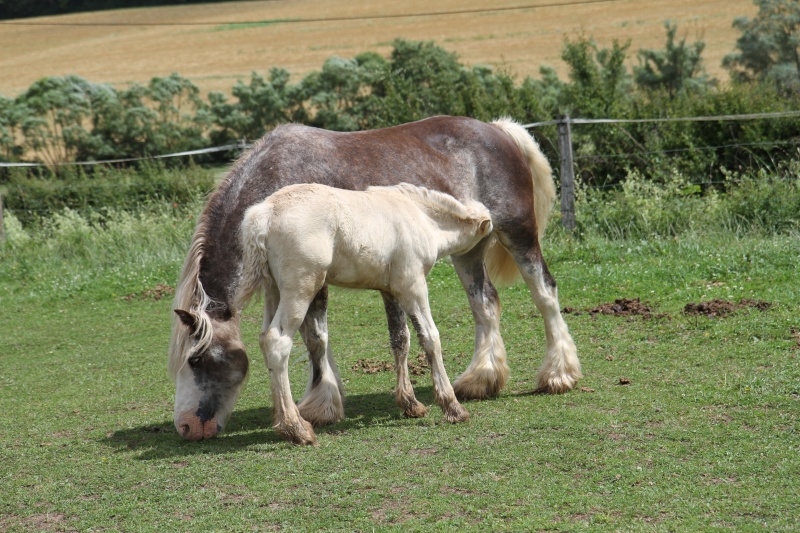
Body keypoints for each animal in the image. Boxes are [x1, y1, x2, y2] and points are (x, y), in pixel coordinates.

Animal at [234, 184, 490, 444]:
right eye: (487, 240)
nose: (481, 273)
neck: (421, 216)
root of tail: (265, 212)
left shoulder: (389, 290)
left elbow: (400, 340)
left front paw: (410, 403)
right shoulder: (412, 285)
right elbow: (430, 337)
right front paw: (453, 406)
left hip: (273, 290)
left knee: (264, 338)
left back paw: (283, 422)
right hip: (300, 288)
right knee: (277, 342)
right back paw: (296, 428)